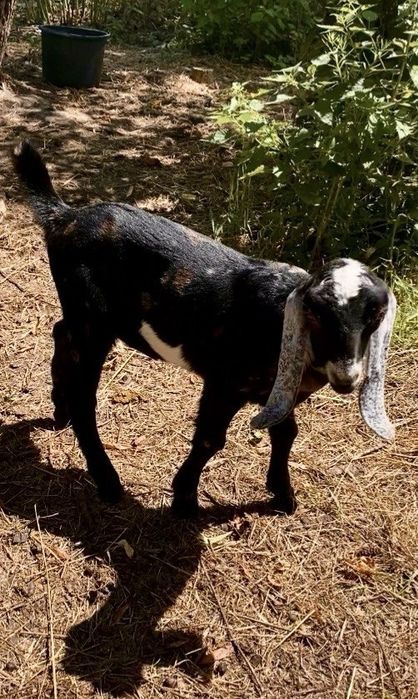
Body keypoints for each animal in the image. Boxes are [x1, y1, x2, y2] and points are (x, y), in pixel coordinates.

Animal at [12, 141, 396, 517]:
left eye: (375, 316)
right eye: (316, 313)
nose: (347, 377)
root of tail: (65, 217)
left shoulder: (279, 393)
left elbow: (286, 432)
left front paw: (283, 496)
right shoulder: (224, 381)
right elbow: (212, 438)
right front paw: (184, 501)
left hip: (82, 316)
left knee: (61, 333)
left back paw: (59, 410)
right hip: (92, 319)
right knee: (84, 396)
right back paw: (108, 481)